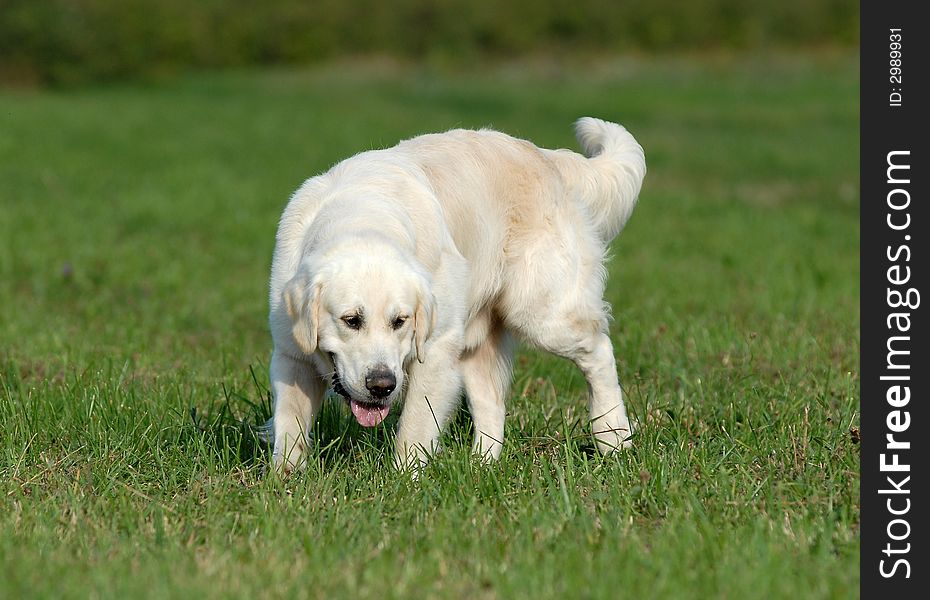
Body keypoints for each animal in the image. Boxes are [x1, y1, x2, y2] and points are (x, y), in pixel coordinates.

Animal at [268, 118, 644, 474]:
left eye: (400, 321)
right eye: (351, 320)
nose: (382, 385)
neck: (361, 216)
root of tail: (546, 157)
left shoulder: (435, 349)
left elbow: (415, 426)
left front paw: (405, 479)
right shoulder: (291, 355)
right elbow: (290, 425)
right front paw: (286, 479)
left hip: (542, 316)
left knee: (599, 352)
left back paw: (613, 438)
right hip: (477, 339)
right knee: (492, 402)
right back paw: (482, 464)